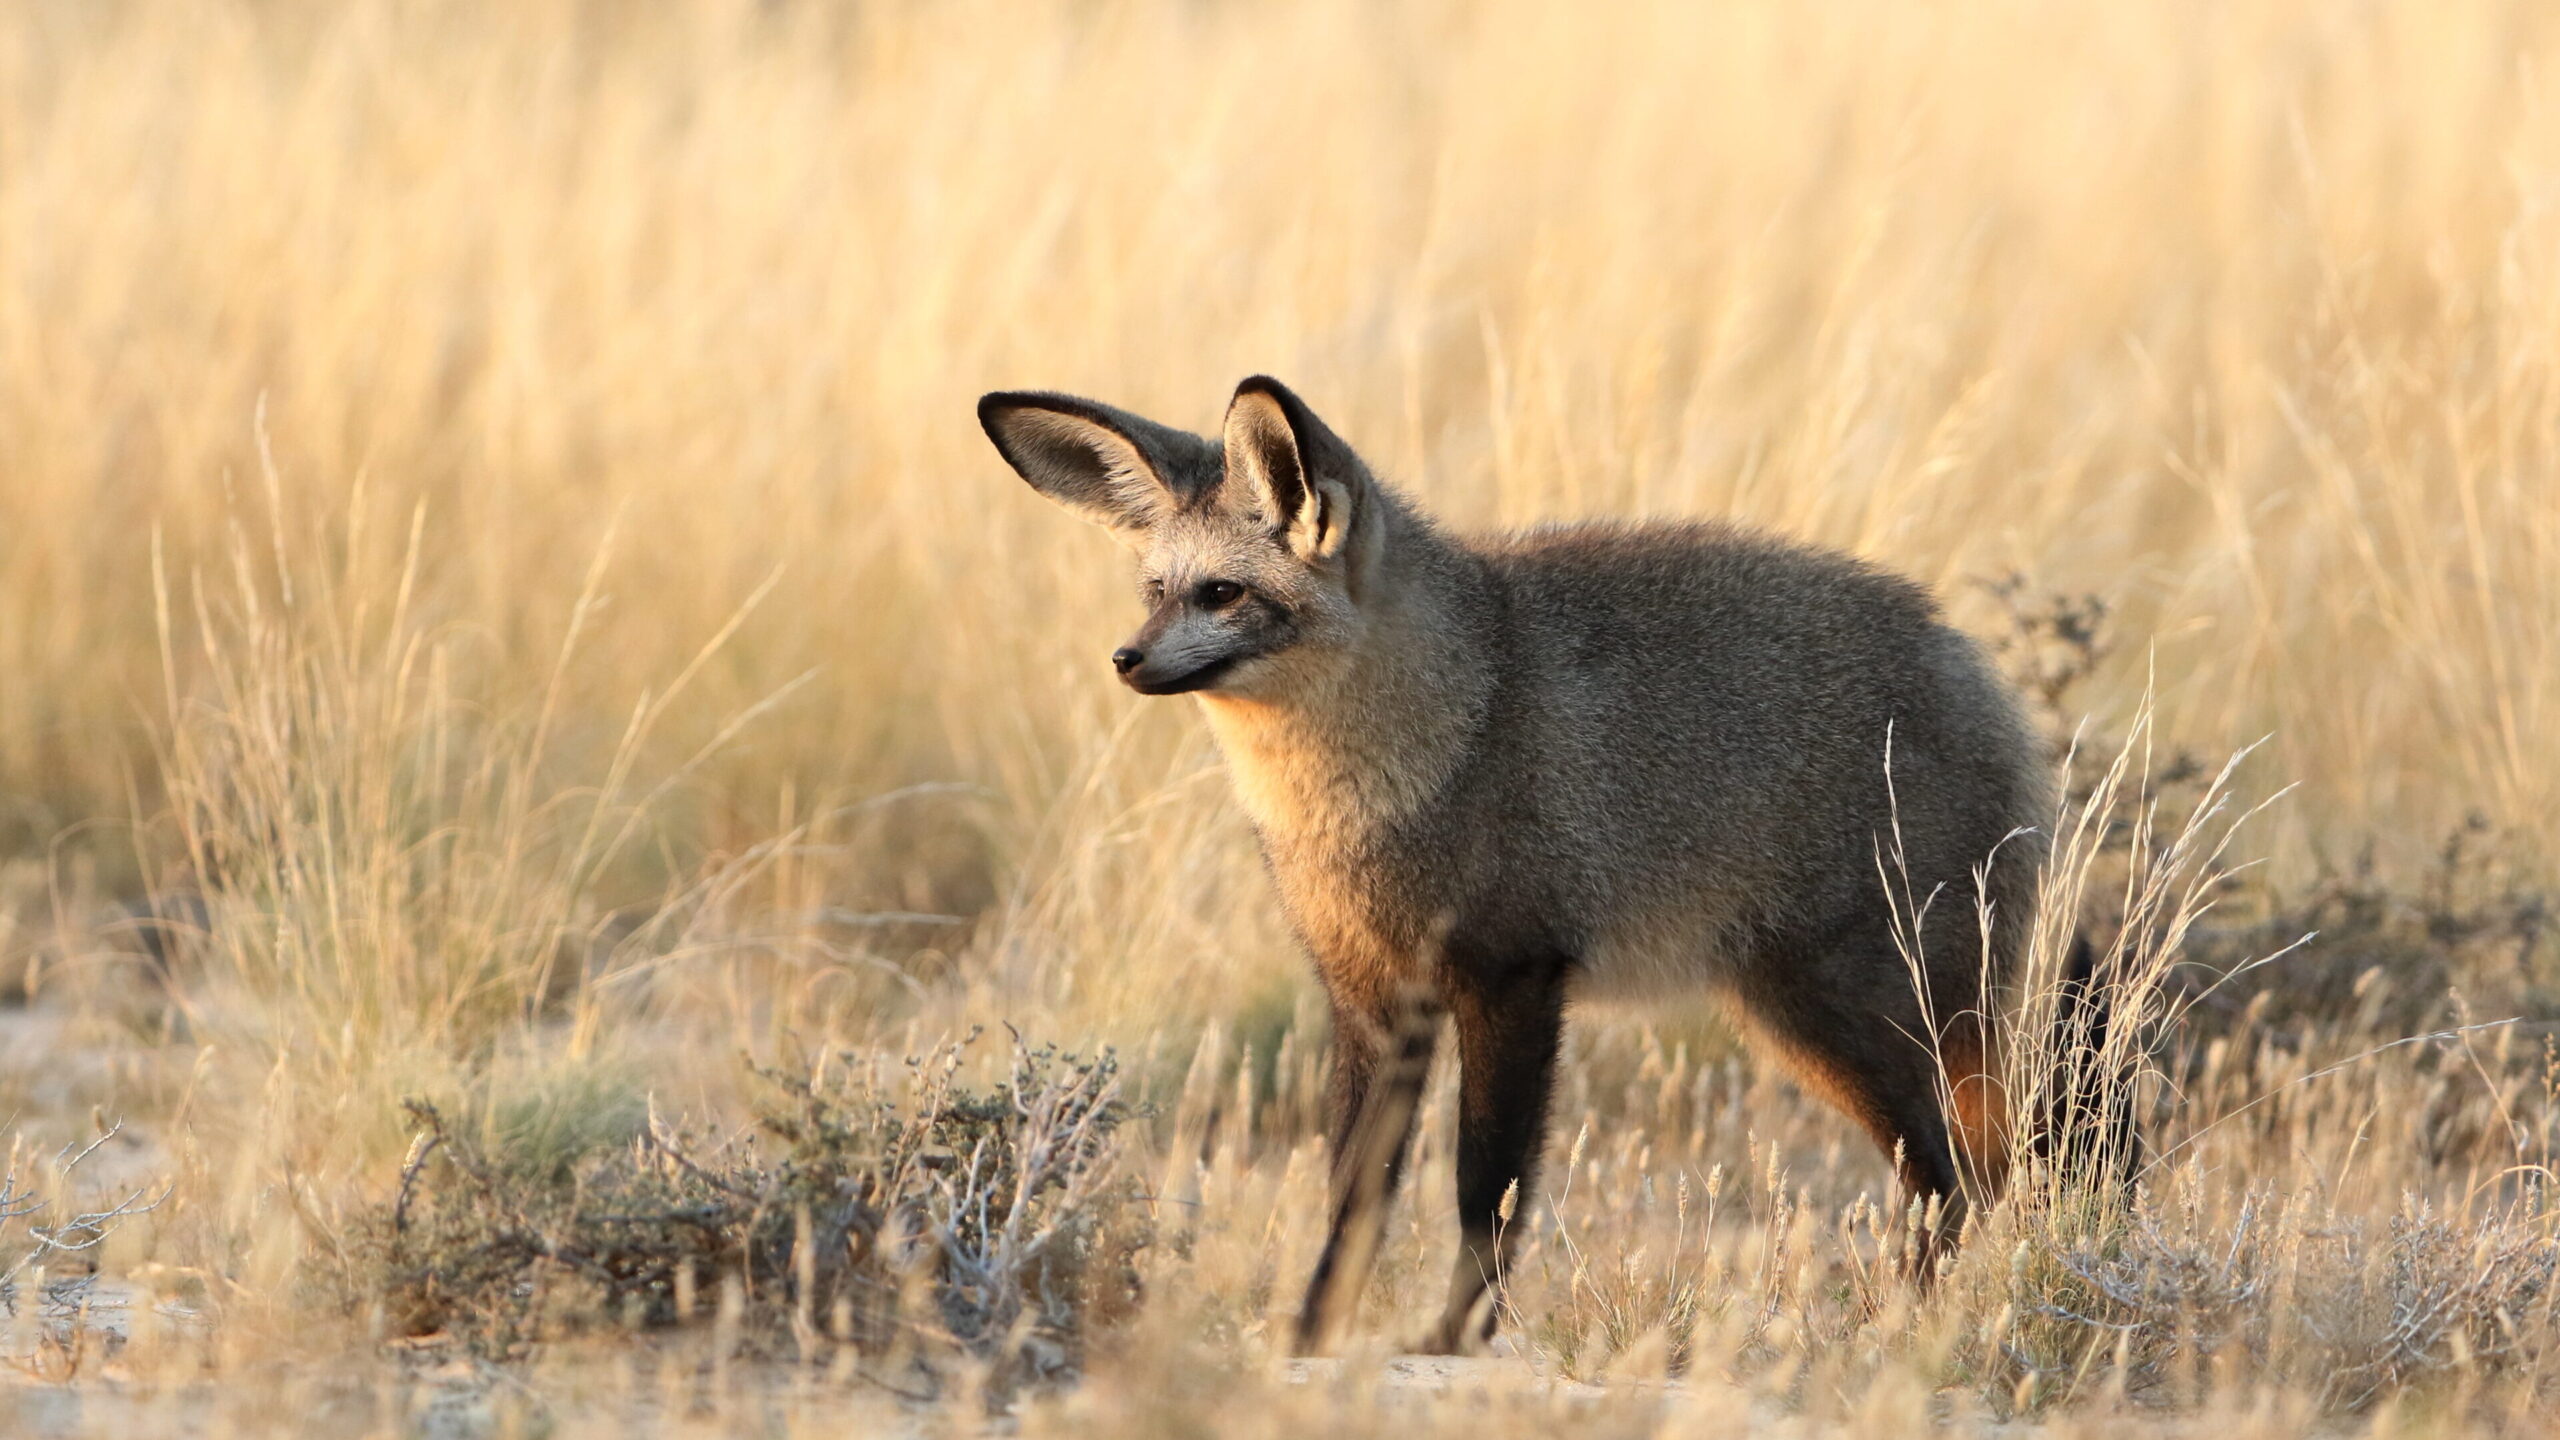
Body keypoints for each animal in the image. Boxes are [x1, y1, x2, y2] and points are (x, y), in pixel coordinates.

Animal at [979, 375, 2124, 1356]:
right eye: (1154, 591)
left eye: (1223, 593)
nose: (1125, 660)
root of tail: (1976, 670)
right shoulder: (1370, 998)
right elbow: (1352, 1195)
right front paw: (1310, 1338)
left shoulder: (1512, 979)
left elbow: (1485, 1188)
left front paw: (1453, 1341)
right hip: (1825, 1018)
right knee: (1984, 1168)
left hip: (1836, 1012)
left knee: (1953, 1175)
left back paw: (1896, 1334)